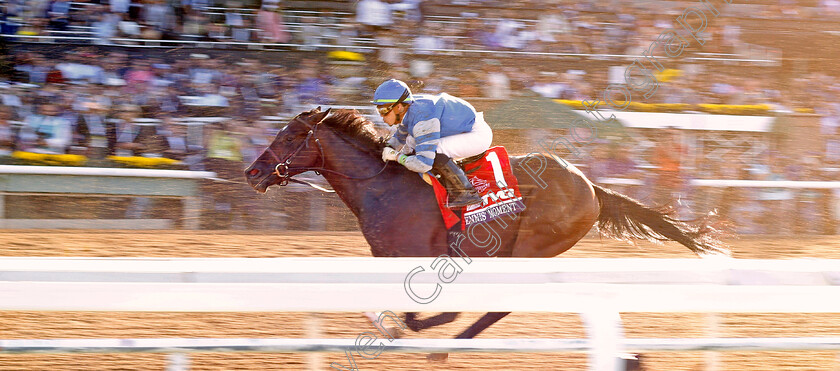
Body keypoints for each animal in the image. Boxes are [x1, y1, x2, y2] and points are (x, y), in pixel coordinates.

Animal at [244, 106, 728, 354]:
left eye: (290, 137)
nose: (252, 173)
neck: (382, 185)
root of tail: (591, 186)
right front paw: (388, 323)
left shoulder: (425, 257)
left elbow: (418, 310)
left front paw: (411, 325)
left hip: (530, 248)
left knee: (501, 303)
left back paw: (454, 341)